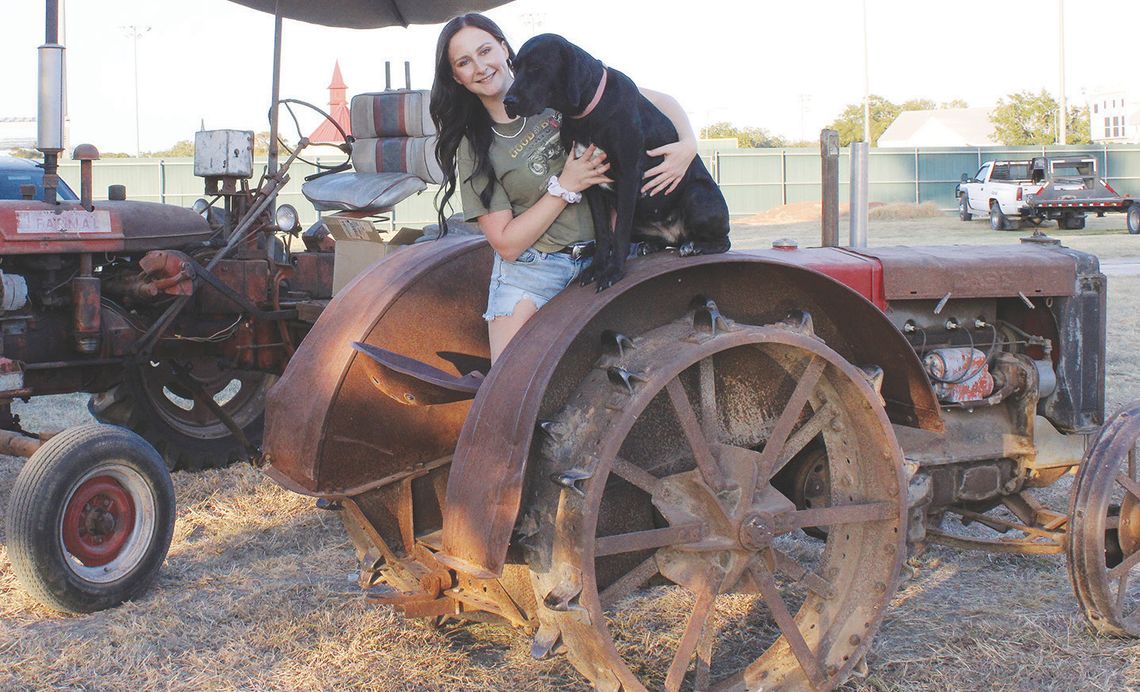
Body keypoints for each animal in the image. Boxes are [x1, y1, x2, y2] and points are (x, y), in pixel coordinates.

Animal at [506, 34, 729, 289]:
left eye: (537, 68)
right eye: (514, 67)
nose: (507, 101)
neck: (588, 113)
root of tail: (674, 235)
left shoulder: (629, 175)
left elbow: (619, 232)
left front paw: (613, 271)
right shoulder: (589, 180)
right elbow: (603, 231)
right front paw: (596, 267)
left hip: (697, 194)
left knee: (723, 241)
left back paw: (693, 246)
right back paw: (644, 245)